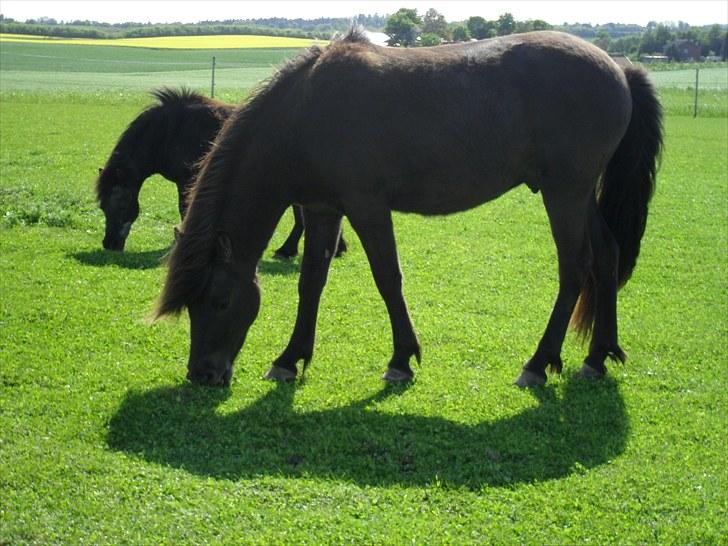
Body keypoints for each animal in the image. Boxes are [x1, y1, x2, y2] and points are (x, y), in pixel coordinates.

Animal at [94, 87, 346, 258]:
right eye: (102, 206)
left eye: (121, 203)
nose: (109, 243)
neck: (171, 130)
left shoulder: (187, 180)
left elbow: (184, 208)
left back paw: (290, 250)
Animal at [156, 29, 664, 386]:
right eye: (191, 306)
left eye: (220, 300)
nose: (203, 374)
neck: (305, 110)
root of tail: (619, 66)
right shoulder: (322, 209)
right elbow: (311, 282)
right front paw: (289, 358)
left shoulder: (367, 208)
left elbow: (388, 278)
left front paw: (401, 359)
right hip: (578, 195)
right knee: (607, 256)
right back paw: (597, 356)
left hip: (566, 194)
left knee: (575, 269)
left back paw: (538, 364)